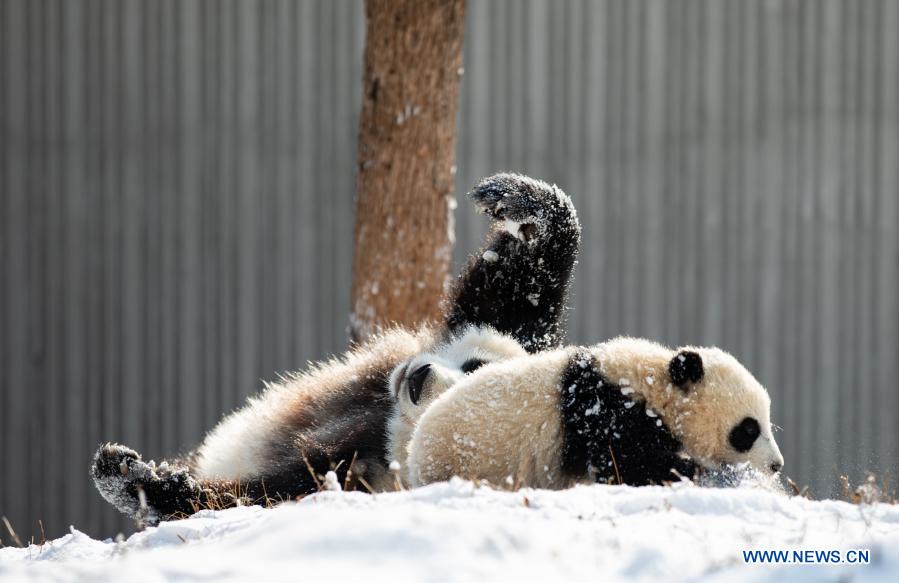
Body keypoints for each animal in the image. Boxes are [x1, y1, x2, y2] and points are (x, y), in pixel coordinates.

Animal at [93, 172, 584, 524]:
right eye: (473, 365)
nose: (419, 379)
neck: (388, 429)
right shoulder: (512, 328)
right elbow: (519, 288)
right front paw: (516, 199)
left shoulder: (355, 477)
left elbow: (252, 498)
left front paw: (135, 481)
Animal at [404, 336, 784, 490]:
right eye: (748, 430)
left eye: (766, 424)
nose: (776, 465)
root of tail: (414, 448)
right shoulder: (607, 413)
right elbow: (629, 466)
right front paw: (695, 473)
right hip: (464, 458)